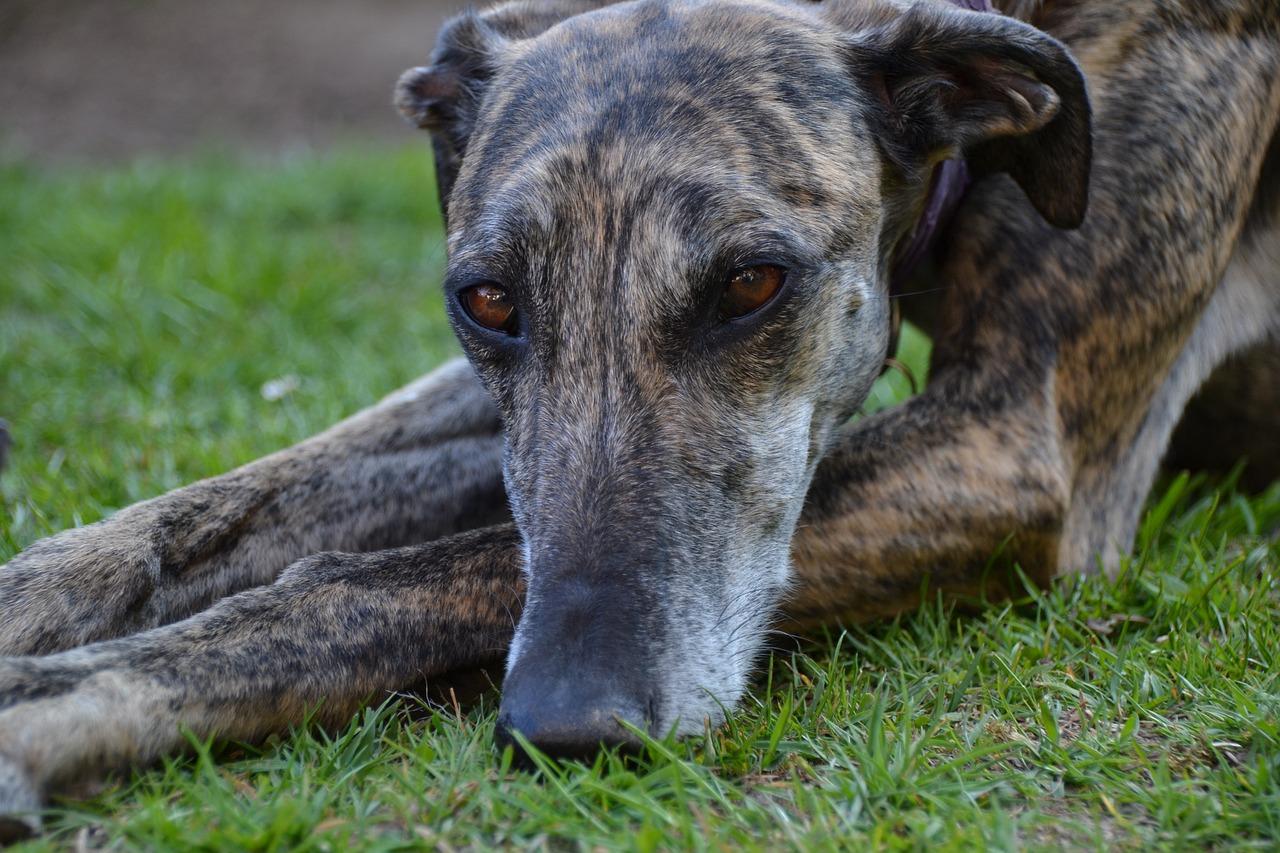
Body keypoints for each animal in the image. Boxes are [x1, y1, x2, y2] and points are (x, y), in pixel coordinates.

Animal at [2, 0, 1280, 835]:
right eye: (486, 299)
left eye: (753, 282)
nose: (575, 726)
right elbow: (236, 502)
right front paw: (35, 602)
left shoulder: (1014, 443)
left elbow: (373, 577)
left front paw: (57, 704)